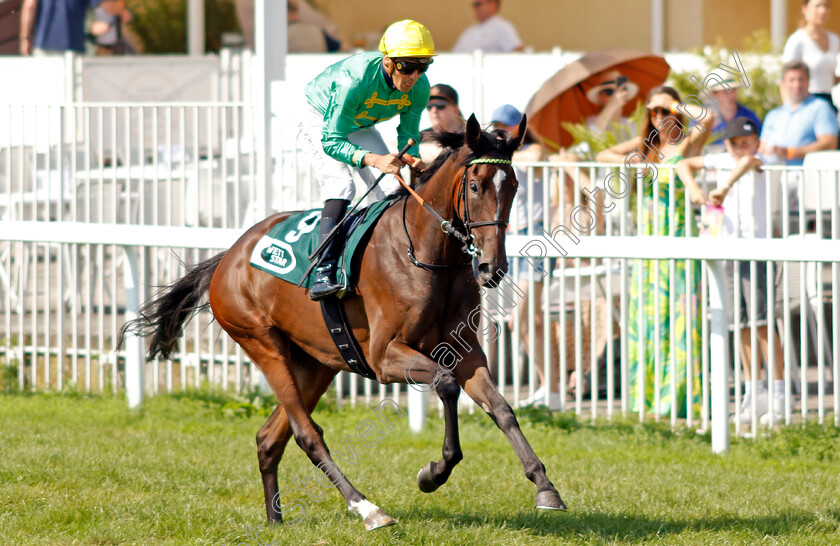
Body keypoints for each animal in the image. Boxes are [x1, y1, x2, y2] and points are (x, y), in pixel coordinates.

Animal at [121, 113, 568, 528]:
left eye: (514, 186)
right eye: (475, 185)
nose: (494, 267)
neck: (426, 254)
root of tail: (229, 256)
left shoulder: (466, 351)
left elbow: (501, 408)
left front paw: (545, 487)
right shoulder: (385, 357)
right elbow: (445, 384)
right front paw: (433, 473)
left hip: (317, 363)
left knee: (269, 438)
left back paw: (275, 519)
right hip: (262, 343)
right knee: (307, 435)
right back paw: (368, 508)